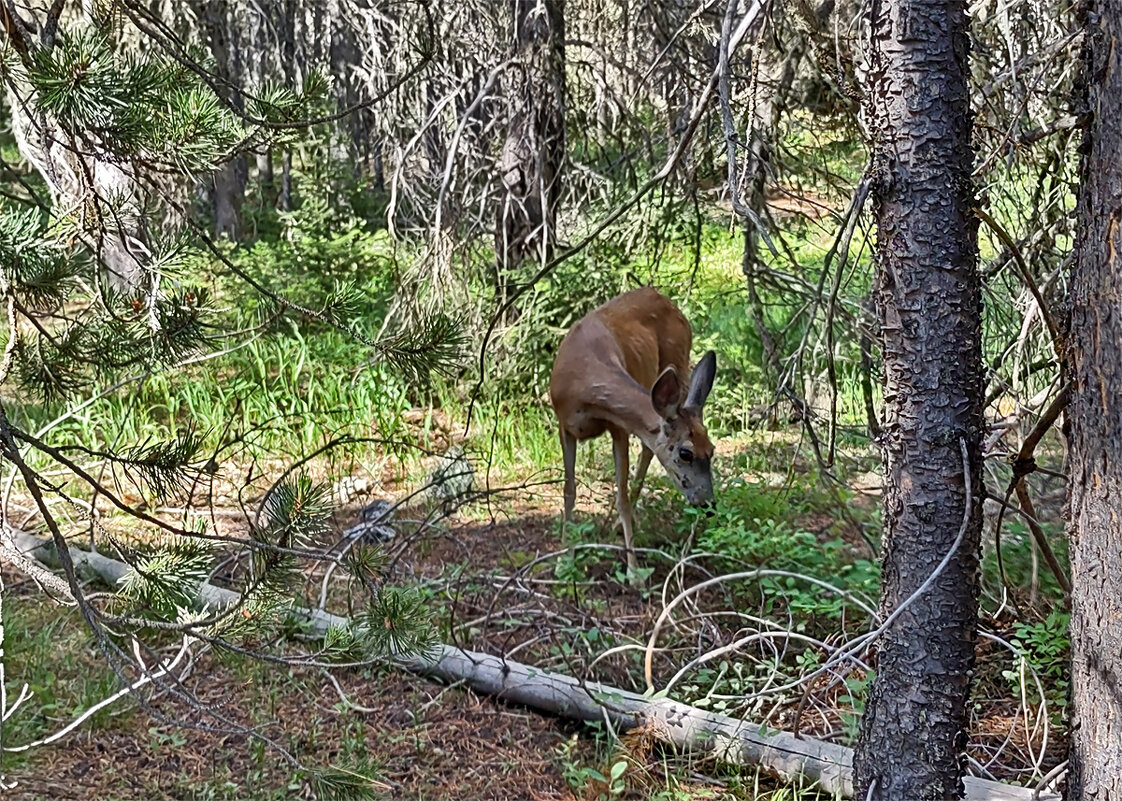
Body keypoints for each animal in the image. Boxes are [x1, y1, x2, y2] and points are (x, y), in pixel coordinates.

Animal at [549, 287, 718, 574]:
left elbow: (622, 496)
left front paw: (634, 570)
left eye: (712, 450)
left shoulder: (619, 427)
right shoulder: (564, 425)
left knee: (647, 450)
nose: (708, 504)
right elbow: (569, 490)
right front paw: (563, 560)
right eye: (686, 453)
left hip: (679, 363)